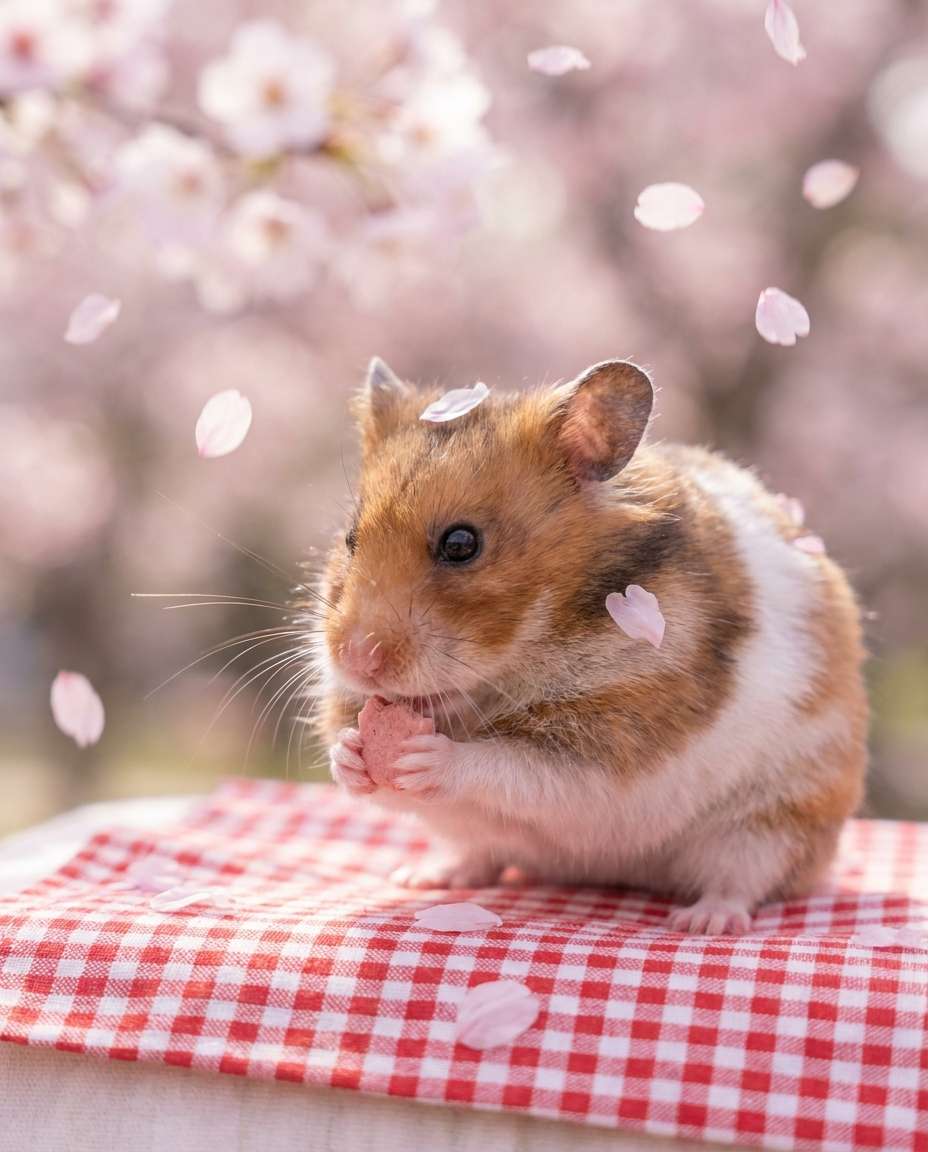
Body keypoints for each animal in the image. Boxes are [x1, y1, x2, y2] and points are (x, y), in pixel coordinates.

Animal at [312, 356, 868, 934]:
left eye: (461, 544)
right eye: (350, 539)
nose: (356, 660)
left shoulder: (616, 734)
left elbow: (510, 766)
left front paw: (423, 755)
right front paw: (351, 752)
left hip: (778, 818)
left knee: (744, 878)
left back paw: (703, 921)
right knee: (480, 852)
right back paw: (425, 876)